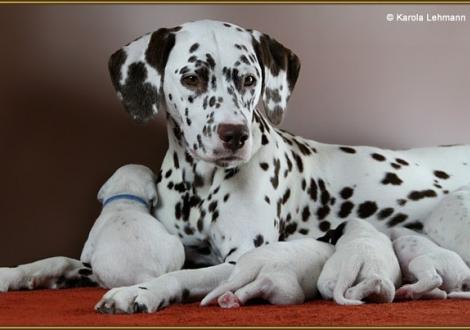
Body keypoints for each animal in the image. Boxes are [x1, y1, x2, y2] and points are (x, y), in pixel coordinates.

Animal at [201, 238, 334, 308]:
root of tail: (254, 264)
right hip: (291, 292)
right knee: (257, 286)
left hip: (236, 275)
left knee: (228, 285)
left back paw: (227, 300)